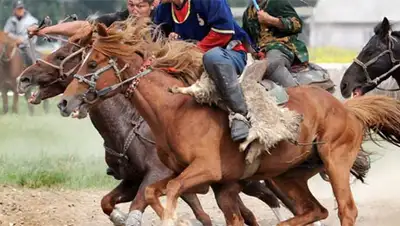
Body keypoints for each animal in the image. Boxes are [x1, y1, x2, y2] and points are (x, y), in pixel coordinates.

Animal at [16, 38, 300, 224]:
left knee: (273, 198)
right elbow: (108, 202)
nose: (24, 78)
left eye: (63, 55)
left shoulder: (157, 174)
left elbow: (144, 206)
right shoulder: (134, 179)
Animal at [55, 19, 400, 226]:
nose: (64, 102)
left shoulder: (204, 170)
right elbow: (155, 193)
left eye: (93, 63)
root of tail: (346, 108)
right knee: (314, 210)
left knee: (345, 209)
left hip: (335, 161)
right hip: (288, 175)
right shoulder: (206, 182)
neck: (174, 111)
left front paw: (174, 219)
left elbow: (170, 193)